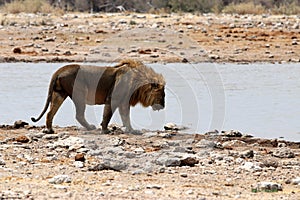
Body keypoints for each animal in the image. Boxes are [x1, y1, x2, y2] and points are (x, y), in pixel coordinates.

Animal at [31, 59, 165, 134]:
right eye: (162, 95)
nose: (163, 106)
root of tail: (60, 69)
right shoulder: (113, 99)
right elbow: (108, 115)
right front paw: (105, 130)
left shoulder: (124, 103)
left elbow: (126, 117)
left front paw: (132, 130)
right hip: (80, 94)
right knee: (79, 115)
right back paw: (90, 127)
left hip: (59, 94)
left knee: (50, 113)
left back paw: (50, 130)